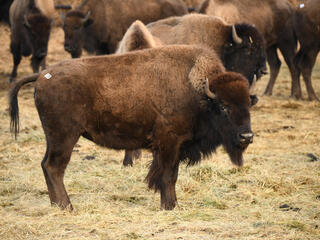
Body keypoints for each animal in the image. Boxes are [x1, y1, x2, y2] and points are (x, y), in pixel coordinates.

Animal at [10, 44, 254, 210]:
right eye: (223, 106)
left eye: (248, 104)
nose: (247, 136)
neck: (199, 93)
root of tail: (43, 75)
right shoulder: (168, 143)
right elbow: (167, 175)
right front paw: (169, 206)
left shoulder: (176, 147)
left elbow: (171, 175)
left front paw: (173, 204)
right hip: (64, 137)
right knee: (54, 167)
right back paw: (67, 206)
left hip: (55, 139)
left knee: (46, 165)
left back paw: (58, 205)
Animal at [60, 0, 188, 58]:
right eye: (64, 27)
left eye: (77, 27)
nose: (67, 47)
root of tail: (182, 5)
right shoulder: (101, 47)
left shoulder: (113, 43)